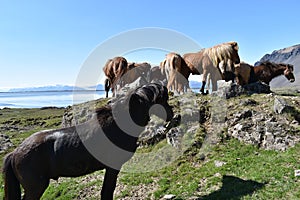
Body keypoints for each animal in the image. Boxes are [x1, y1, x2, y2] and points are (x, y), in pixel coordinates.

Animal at [2, 83, 175, 200]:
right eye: (163, 99)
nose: (171, 114)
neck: (119, 125)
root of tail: (15, 152)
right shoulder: (112, 168)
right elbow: (107, 191)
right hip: (35, 188)